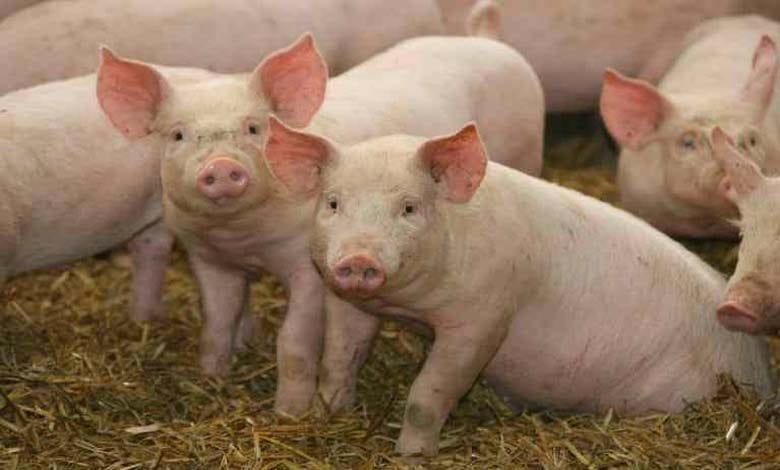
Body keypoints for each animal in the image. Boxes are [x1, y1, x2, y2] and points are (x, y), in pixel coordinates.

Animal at [96, 33, 544, 417]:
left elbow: (294, 341)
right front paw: (212, 378)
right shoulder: (208, 258)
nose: (221, 166)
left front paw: (290, 414)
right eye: (177, 135)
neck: (243, 237)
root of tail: (488, 42)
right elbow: (216, 324)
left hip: (527, 151)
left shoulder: (309, 266)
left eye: (254, 127)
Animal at [263, 121, 772, 456]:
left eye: (409, 207)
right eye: (333, 203)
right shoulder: (350, 301)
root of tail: (762, 371)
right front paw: (328, 412)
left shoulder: (483, 318)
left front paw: (410, 456)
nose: (359, 259)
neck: (411, 307)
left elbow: (429, 393)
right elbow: (340, 358)